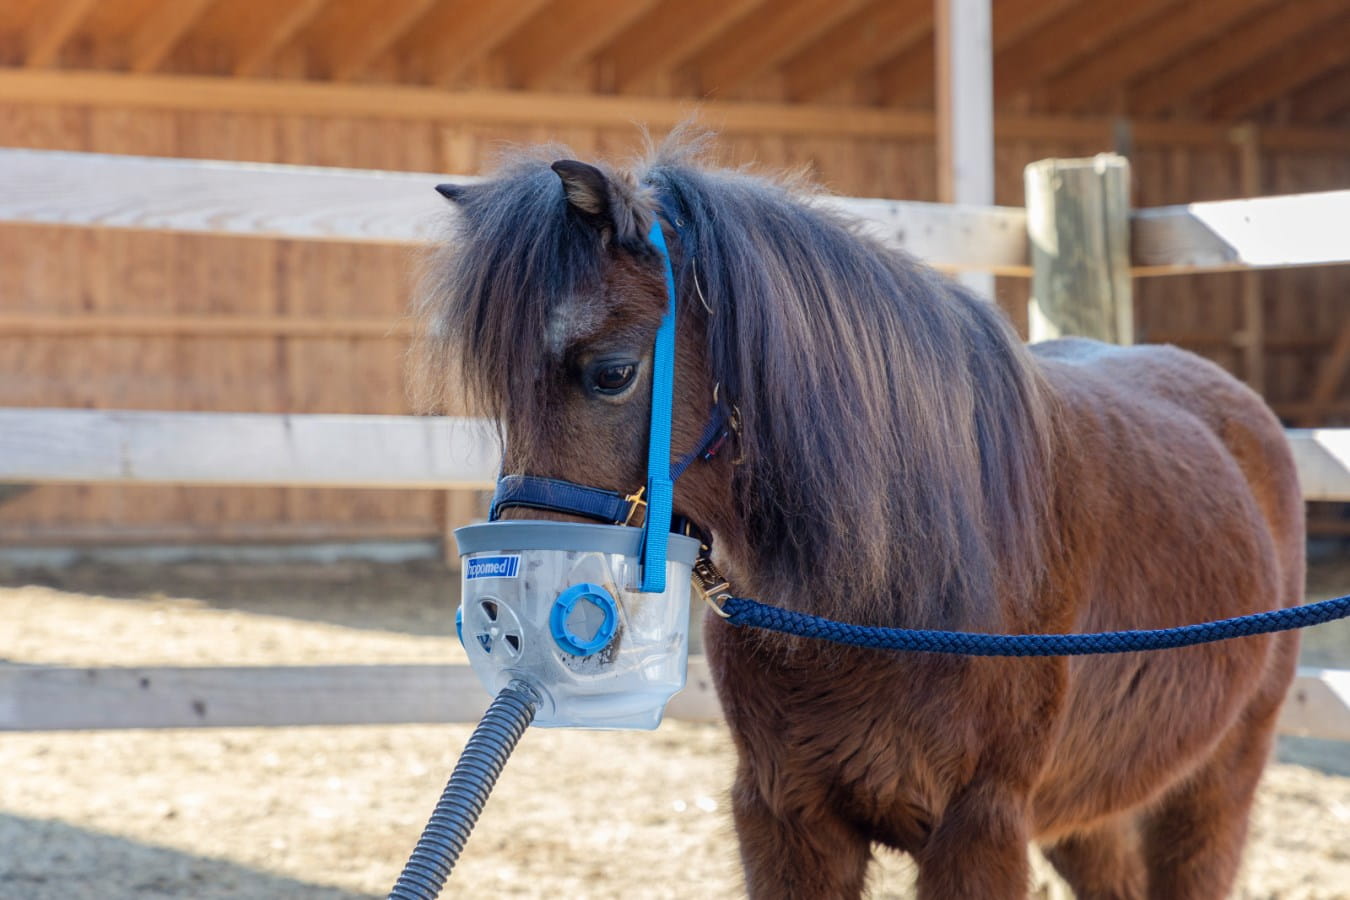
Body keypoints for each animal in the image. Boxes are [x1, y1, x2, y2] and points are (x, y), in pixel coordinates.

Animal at [417, 136, 1303, 899]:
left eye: (610, 373)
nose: (505, 611)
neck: (891, 595)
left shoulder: (978, 831)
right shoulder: (787, 819)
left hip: (1212, 790)